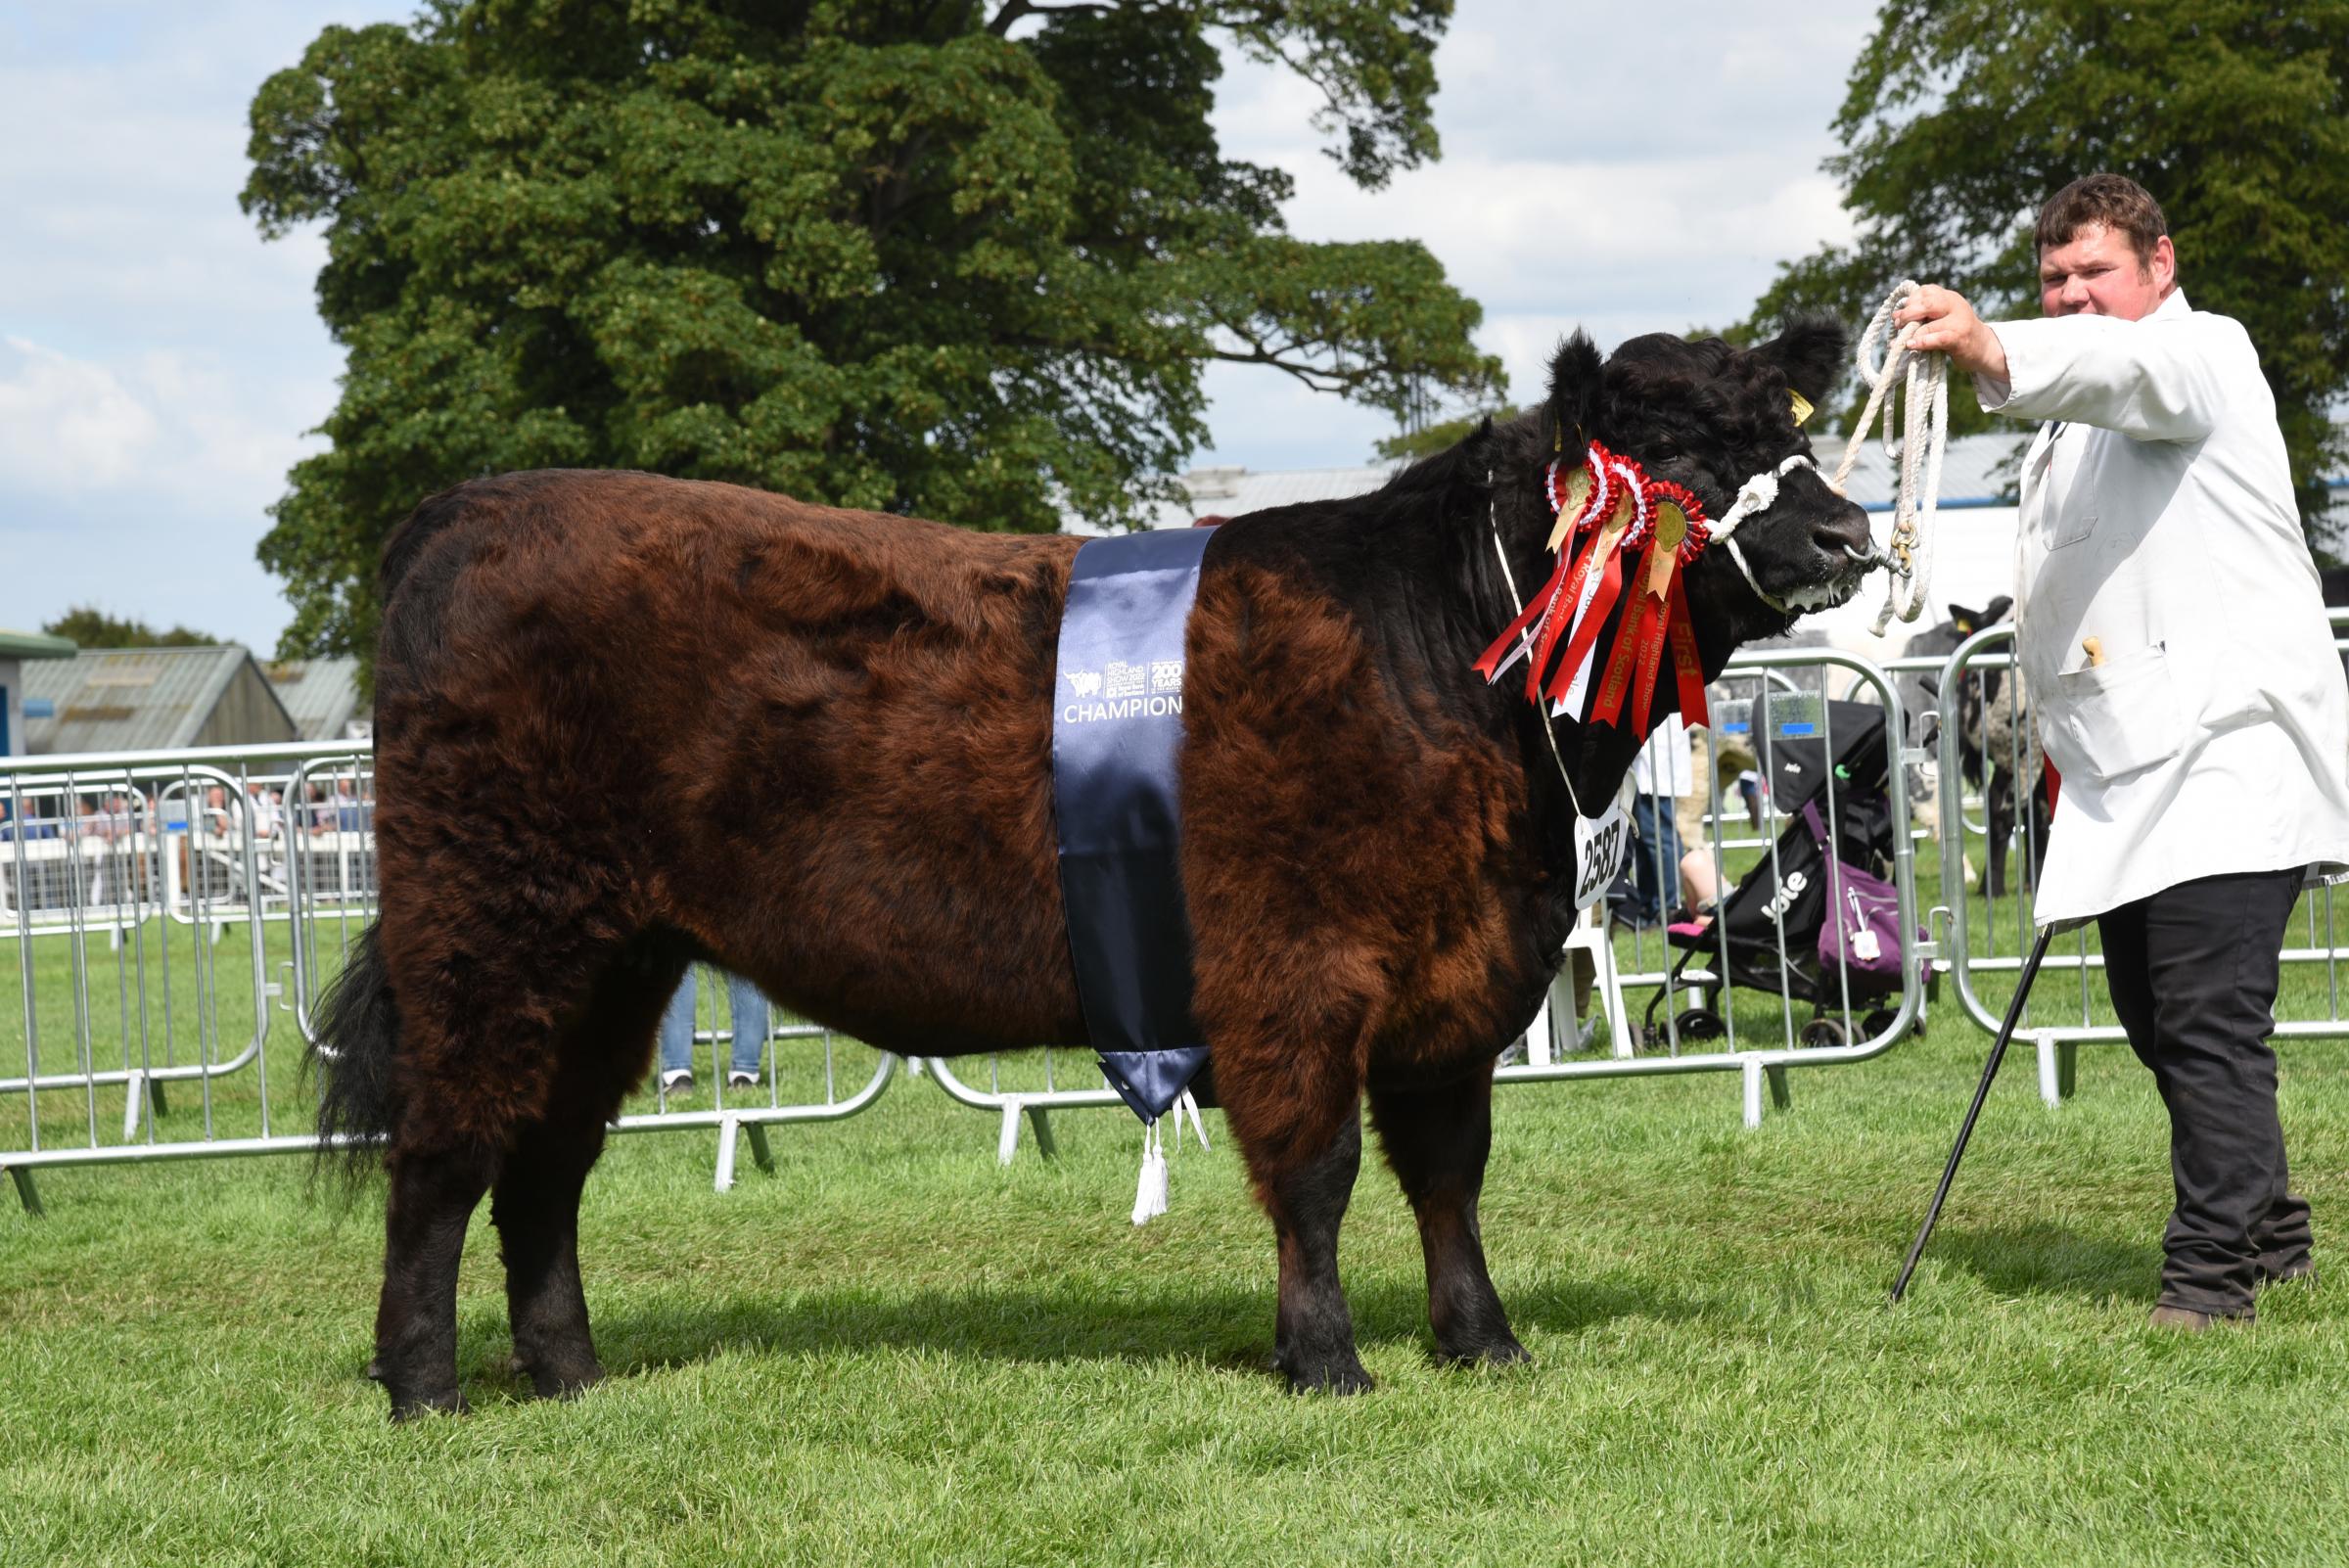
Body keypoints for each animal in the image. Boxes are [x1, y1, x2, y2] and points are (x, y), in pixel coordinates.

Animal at [321, 321, 1879, 1417]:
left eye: (1787, 430)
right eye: (1676, 452)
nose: (1849, 531)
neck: (1446, 654)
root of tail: (463, 513)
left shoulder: (1458, 977)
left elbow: (1449, 1172)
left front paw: (1483, 1342)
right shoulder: (1294, 972)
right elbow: (1316, 1173)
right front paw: (1326, 1359)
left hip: (611, 954)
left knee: (547, 1161)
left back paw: (569, 1372)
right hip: (486, 926)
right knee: (444, 1153)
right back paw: (424, 1386)